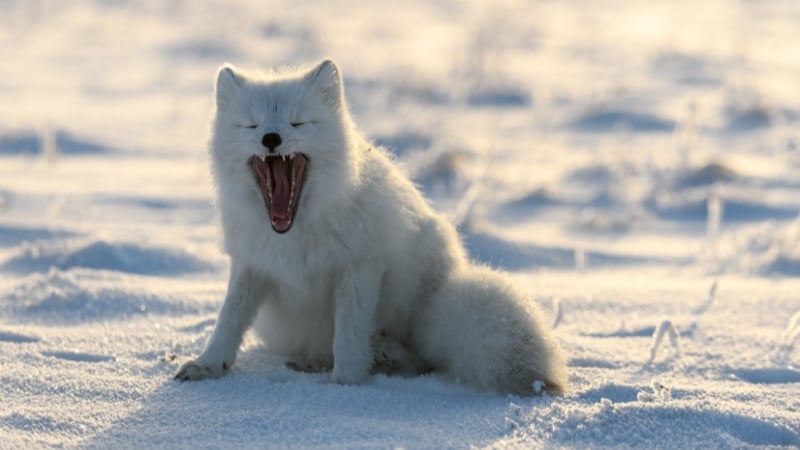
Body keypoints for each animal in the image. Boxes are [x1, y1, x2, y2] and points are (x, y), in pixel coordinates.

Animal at [173, 59, 568, 394]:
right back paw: (319, 360)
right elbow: (229, 318)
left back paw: (381, 356)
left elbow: (349, 335)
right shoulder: (252, 264)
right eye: (251, 125)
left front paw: (345, 387)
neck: (295, 231)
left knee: (416, 358)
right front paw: (208, 365)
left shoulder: (361, 267)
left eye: (298, 123)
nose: (271, 138)